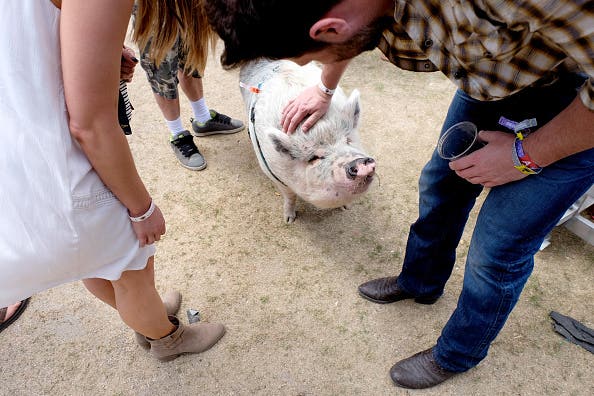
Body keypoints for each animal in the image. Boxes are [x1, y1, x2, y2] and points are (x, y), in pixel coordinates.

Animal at [237, 58, 372, 223]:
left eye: (348, 140)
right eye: (315, 157)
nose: (359, 162)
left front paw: (346, 207)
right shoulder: (274, 174)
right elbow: (290, 196)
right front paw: (289, 220)